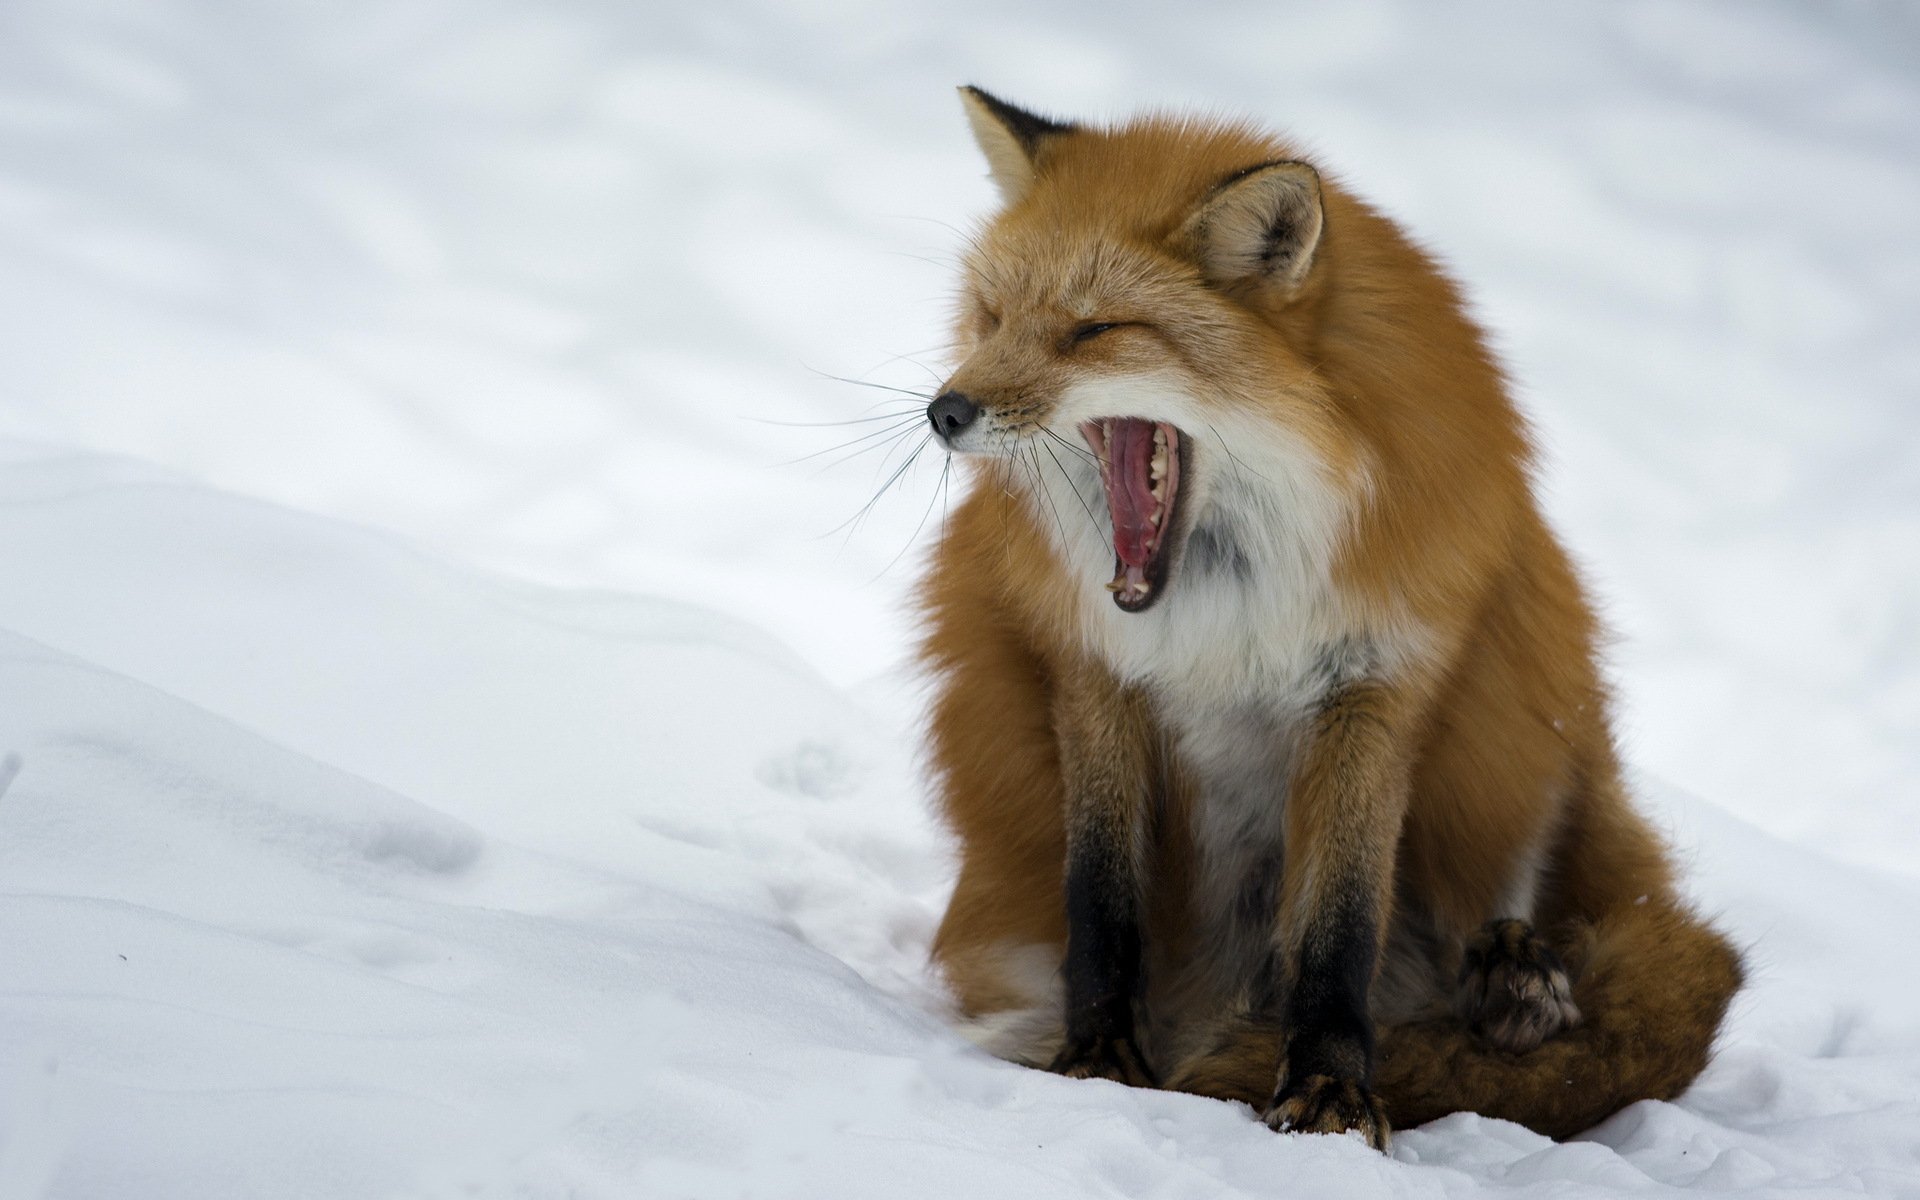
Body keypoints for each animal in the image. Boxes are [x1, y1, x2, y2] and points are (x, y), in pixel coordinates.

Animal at [916, 86, 1743, 1150]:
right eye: (994, 317)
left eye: (1093, 331)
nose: (944, 412)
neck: (1226, 610)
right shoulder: (1094, 676)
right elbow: (1102, 902)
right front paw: (1097, 1061)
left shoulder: (1376, 684)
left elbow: (1340, 923)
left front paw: (1331, 1094)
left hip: (1526, 695)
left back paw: (1515, 996)